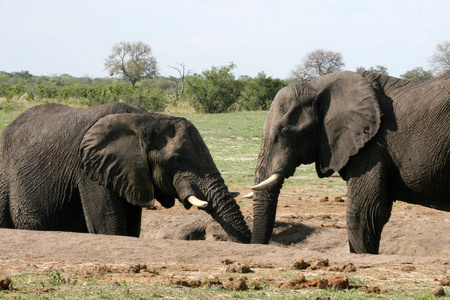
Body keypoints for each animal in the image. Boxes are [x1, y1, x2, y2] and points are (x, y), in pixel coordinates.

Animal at [0, 102, 251, 243]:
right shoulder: (88, 170)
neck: (146, 119)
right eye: (176, 159)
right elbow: (109, 227)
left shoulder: (130, 173)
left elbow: (131, 228)